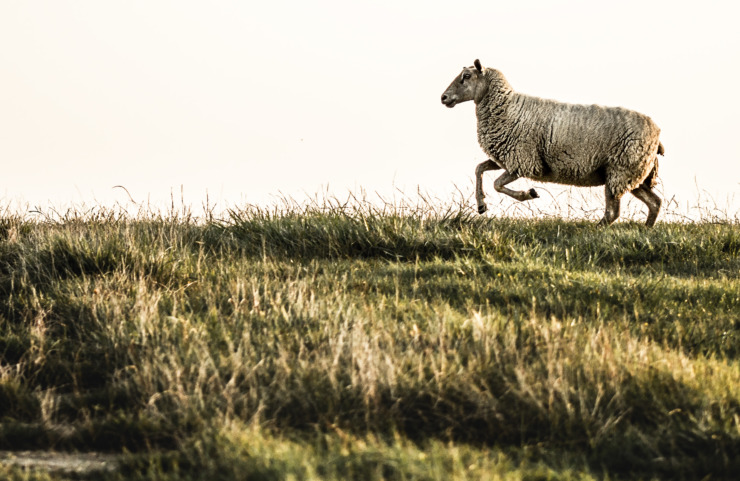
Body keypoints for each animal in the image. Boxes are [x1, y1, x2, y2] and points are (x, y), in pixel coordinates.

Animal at [440, 59, 664, 226]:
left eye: (466, 77)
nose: (443, 97)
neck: (506, 107)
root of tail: (657, 135)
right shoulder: (505, 158)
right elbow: (479, 169)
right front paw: (481, 205)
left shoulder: (522, 160)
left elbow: (496, 184)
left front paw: (528, 194)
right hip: (631, 174)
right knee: (654, 202)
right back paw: (645, 230)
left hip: (621, 169)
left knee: (613, 212)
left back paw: (595, 229)